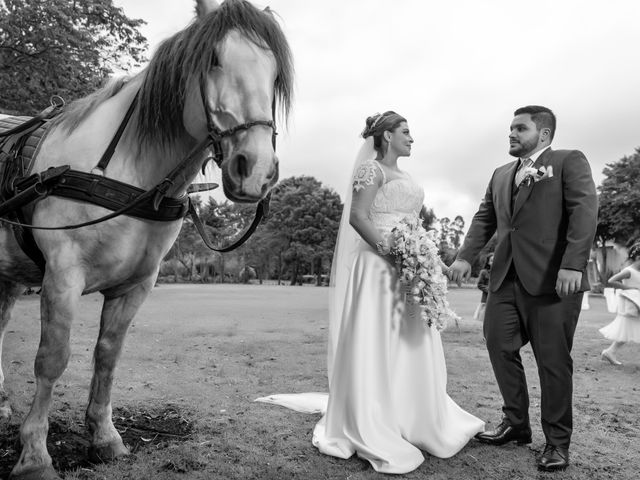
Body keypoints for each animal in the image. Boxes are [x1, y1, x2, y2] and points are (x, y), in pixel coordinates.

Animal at [0, 1, 294, 478]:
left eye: (274, 74)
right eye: (213, 59)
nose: (256, 170)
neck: (126, 173)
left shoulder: (136, 285)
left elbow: (108, 355)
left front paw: (104, 437)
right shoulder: (62, 276)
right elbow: (52, 359)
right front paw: (34, 455)